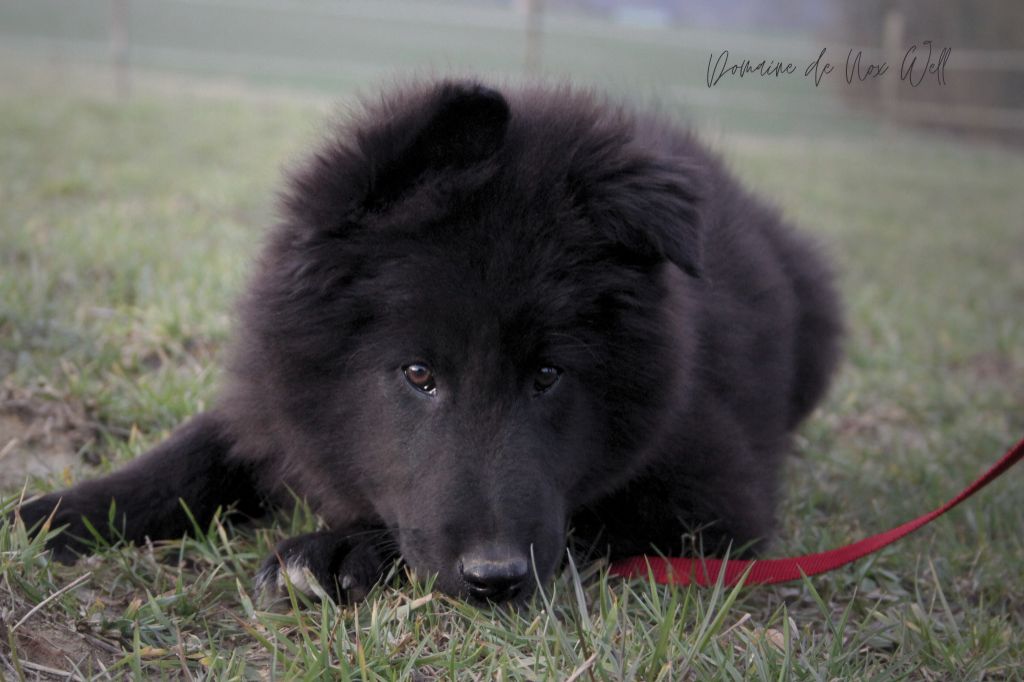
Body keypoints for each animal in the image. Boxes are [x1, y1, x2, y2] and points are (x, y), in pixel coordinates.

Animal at [16, 80, 839, 606]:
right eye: (418, 373)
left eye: (548, 374)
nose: (496, 578)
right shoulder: (275, 395)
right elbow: (192, 453)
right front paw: (55, 515)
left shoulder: (714, 501)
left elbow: (587, 515)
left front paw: (340, 550)